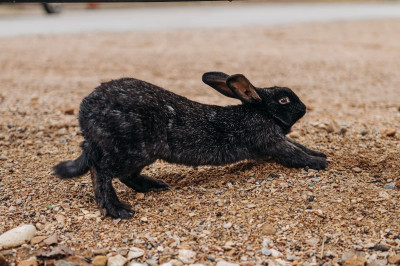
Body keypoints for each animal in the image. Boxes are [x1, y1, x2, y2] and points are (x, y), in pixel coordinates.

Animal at [54, 71, 328, 218]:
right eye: (284, 100)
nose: (304, 108)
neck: (261, 111)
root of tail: (86, 116)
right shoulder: (271, 141)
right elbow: (293, 153)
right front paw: (318, 162)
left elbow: (298, 145)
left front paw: (320, 153)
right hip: (134, 148)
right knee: (101, 171)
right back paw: (117, 209)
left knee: (124, 175)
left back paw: (156, 186)